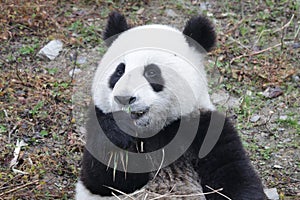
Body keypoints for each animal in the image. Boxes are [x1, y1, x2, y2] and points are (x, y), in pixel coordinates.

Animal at [75, 11, 264, 199]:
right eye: (119, 71)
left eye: (151, 72)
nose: (124, 98)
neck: (156, 129)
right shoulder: (98, 120)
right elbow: (105, 179)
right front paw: (118, 131)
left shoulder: (206, 127)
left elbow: (234, 176)